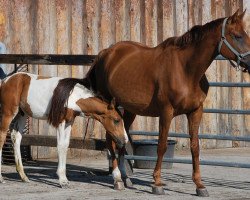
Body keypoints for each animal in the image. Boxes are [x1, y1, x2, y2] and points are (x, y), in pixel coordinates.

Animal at [0, 72, 128, 188]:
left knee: (16, 137)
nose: (125, 140)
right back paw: (1, 178)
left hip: (22, 114)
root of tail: (5, 81)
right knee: (2, 136)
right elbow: (60, 146)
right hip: (8, 113)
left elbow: (65, 145)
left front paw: (63, 177)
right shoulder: (61, 122)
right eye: (116, 120)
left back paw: (23, 176)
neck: (72, 97)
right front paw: (62, 180)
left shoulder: (69, 121)